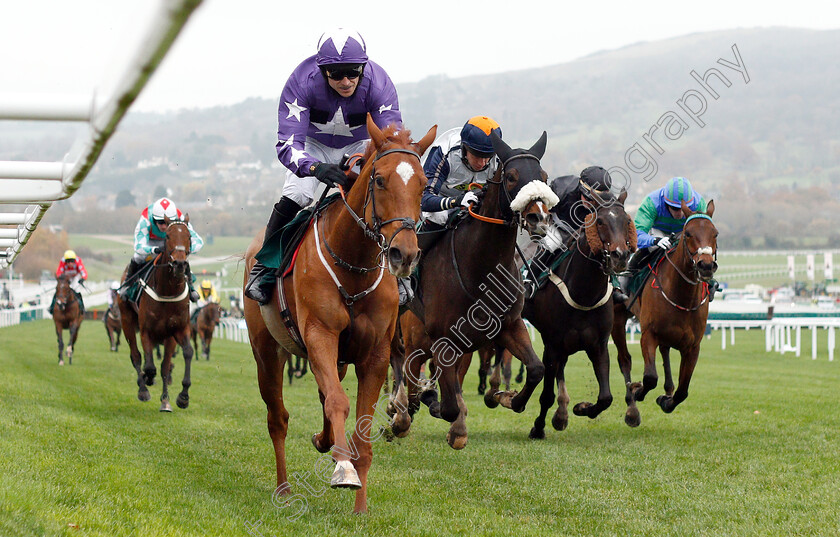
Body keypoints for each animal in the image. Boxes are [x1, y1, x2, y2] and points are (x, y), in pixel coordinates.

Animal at [120, 216, 197, 412]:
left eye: (189, 236)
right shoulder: (146, 331)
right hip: (126, 321)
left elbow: (186, 353)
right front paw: (147, 380)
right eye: (168, 236)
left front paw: (182, 397)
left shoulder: (178, 329)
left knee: (163, 365)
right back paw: (143, 388)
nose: (179, 264)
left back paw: (164, 399)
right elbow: (148, 366)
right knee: (136, 356)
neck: (167, 291)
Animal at [243, 115, 436, 512]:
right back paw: (285, 488)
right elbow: (338, 401)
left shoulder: (374, 353)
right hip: (267, 352)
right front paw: (343, 469)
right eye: (380, 180)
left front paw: (360, 506)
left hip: (340, 358)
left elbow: (360, 424)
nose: (405, 254)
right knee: (278, 418)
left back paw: (324, 441)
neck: (354, 264)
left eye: (424, 184)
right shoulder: (320, 335)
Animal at [392, 131, 556, 448]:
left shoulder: (510, 326)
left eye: (543, 176)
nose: (538, 219)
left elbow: (536, 369)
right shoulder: (444, 339)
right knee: (404, 372)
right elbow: (446, 403)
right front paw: (446, 416)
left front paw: (507, 397)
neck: (481, 268)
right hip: (410, 336)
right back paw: (401, 415)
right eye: (512, 177)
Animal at [520, 191, 636, 438]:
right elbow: (546, 395)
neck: (584, 294)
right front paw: (538, 427)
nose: (620, 256)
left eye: (626, 221)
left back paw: (562, 413)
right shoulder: (553, 344)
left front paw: (581, 408)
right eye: (599, 221)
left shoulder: (598, 345)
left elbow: (605, 397)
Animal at [608, 199, 720, 426]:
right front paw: (637, 390)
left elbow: (683, 390)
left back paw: (667, 391)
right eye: (688, 233)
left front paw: (667, 400)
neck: (682, 296)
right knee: (624, 359)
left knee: (665, 351)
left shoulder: (693, 347)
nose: (705, 265)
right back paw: (631, 406)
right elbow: (650, 377)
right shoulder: (648, 334)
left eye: (715, 233)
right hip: (618, 319)